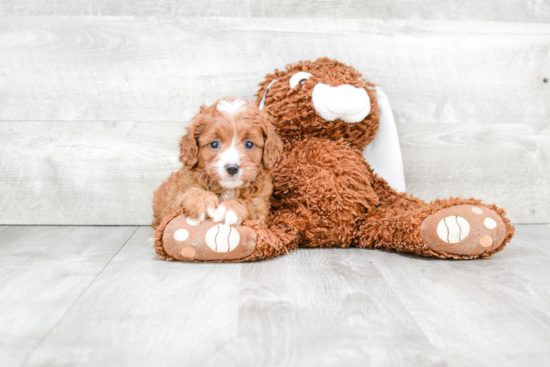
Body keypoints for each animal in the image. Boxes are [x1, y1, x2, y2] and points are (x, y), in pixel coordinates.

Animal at [153, 98, 284, 230]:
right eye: (214, 144)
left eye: (249, 144)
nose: (232, 168)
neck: (226, 189)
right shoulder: (172, 204)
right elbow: (186, 194)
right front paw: (201, 199)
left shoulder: (260, 209)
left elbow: (250, 204)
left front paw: (231, 207)